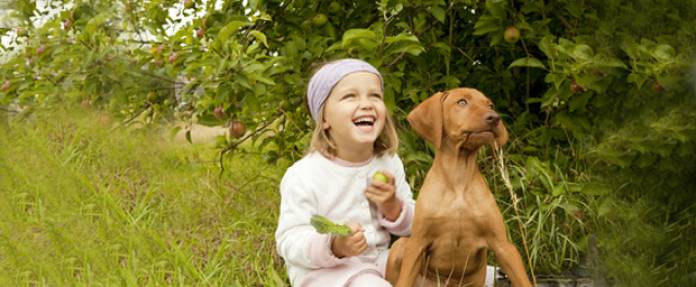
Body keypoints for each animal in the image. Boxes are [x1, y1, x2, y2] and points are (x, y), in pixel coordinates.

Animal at [386, 88, 532, 287]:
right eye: (462, 102)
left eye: (490, 105)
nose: (494, 118)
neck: (459, 179)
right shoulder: (417, 243)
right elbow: (405, 280)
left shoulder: (503, 245)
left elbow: (523, 279)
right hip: (401, 246)